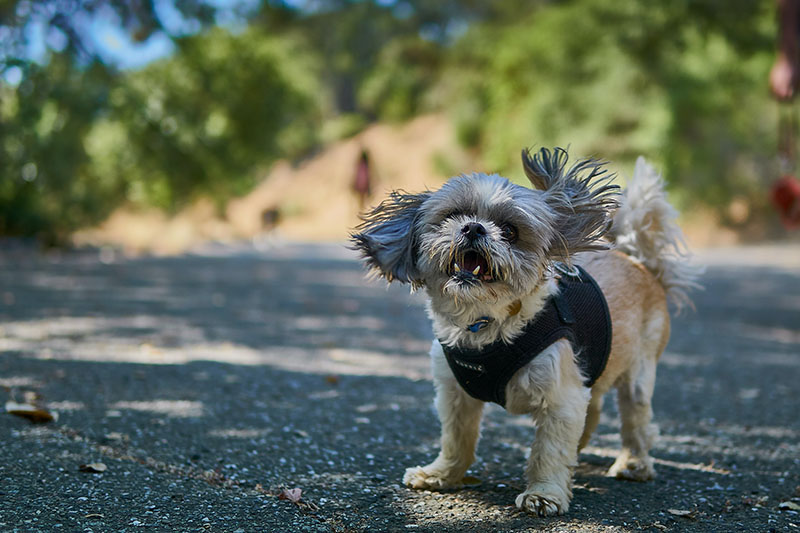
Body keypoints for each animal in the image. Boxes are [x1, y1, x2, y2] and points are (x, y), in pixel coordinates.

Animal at [352, 147, 700, 516]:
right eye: (454, 215)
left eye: (510, 231)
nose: (473, 228)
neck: (487, 325)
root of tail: (639, 262)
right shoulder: (455, 394)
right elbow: (456, 439)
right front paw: (441, 475)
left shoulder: (561, 397)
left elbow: (549, 450)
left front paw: (544, 494)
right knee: (594, 410)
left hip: (638, 375)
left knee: (635, 421)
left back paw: (634, 464)